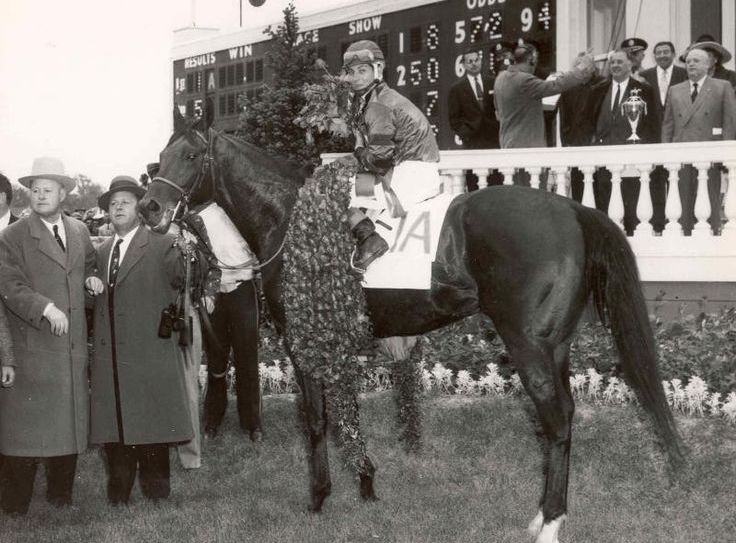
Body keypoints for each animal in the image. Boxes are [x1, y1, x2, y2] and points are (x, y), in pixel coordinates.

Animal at [139, 122, 684, 543]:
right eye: (158, 158)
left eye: (190, 155)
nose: (149, 208)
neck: (290, 219)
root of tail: (574, 208)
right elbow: (345, 416)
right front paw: (365, 484)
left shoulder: (304, 341)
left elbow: (316, 421)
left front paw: (319, 498)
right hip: (556, 347)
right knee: (561, 420)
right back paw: (543, 516)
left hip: (529, 345)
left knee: (559, 419)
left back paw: (549, 523)